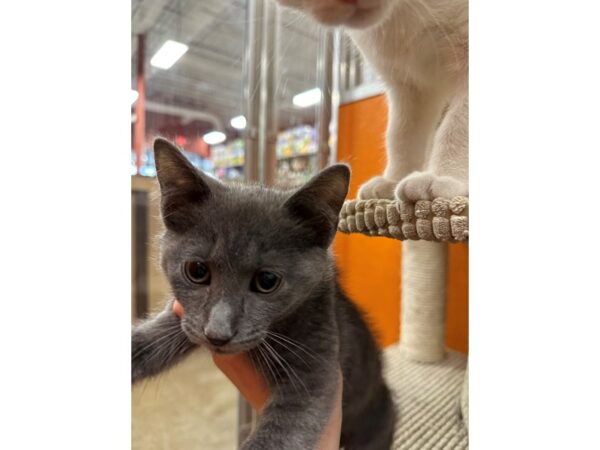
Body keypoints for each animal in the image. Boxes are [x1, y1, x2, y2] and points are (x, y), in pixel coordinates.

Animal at [133, 139, 396, 448]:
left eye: (267, 281)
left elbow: (285, 429)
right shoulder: (185, 316)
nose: (217, 334)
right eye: (196, 270)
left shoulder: (317, 359)